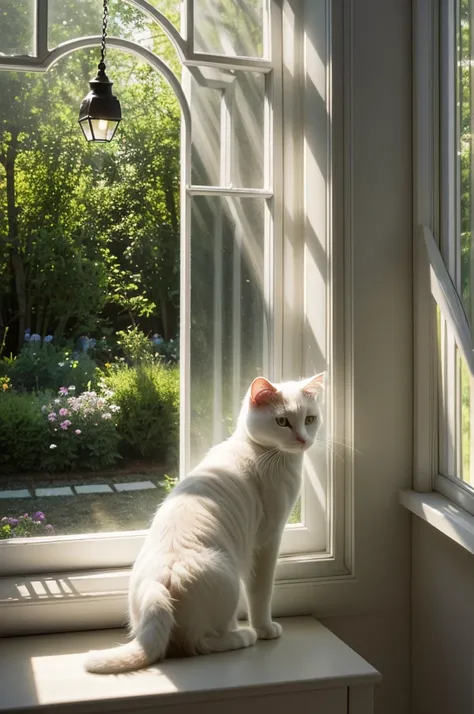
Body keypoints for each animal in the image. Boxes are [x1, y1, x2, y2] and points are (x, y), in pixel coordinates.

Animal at [83, 372, 324, 672]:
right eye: (282, 421)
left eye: (310, 419)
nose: (303, 439)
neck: (260, 450)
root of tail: (159, 585)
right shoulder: (267, 541)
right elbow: (261, 593)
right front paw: (266, 629)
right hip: (228, 582)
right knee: (199, 644)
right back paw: (244, 635)